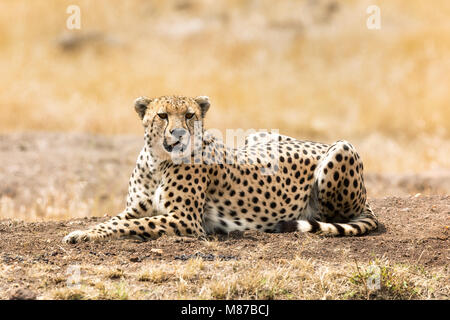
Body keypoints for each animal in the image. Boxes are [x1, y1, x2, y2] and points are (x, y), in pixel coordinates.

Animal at [62, 96, 376, 244]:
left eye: (189, 115)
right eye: (162, 115)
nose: (178, 133)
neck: (157, 162)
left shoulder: (186, 220)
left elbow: (130, 225)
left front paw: (86, 235)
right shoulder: (135, 209)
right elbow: (114, 221)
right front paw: (83, 232)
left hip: (342, 147)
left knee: (329, 217)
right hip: (260, 135)